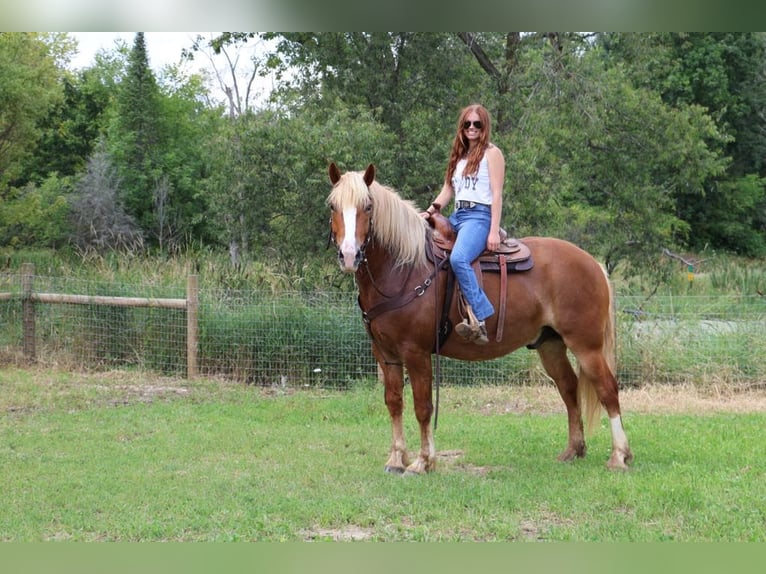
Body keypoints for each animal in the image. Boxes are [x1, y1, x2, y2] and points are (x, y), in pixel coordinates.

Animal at [326, 162, 633, 474]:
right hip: (551, 344)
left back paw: (619, 456)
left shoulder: (416, 352)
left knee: (607, 389)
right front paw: (397, 459)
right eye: (332, 206)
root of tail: (592, 262)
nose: (349, 255)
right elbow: (394, 401)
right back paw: (573, 450)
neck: (404, 268)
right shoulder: (385, 352)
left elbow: (423, 406)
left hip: (586, 345)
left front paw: (423, 462)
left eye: (367, 207)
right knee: (569, 388)